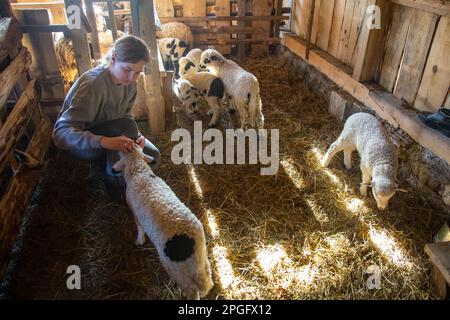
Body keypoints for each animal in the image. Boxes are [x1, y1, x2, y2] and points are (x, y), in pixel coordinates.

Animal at [113, 146, 214, 298]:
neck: (139, 171)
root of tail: (191, 240)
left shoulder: (134, 211)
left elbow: (139, 227)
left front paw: (139, 240)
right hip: (201, 259)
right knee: (207, 281)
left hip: (176, 268)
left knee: (192, 290)